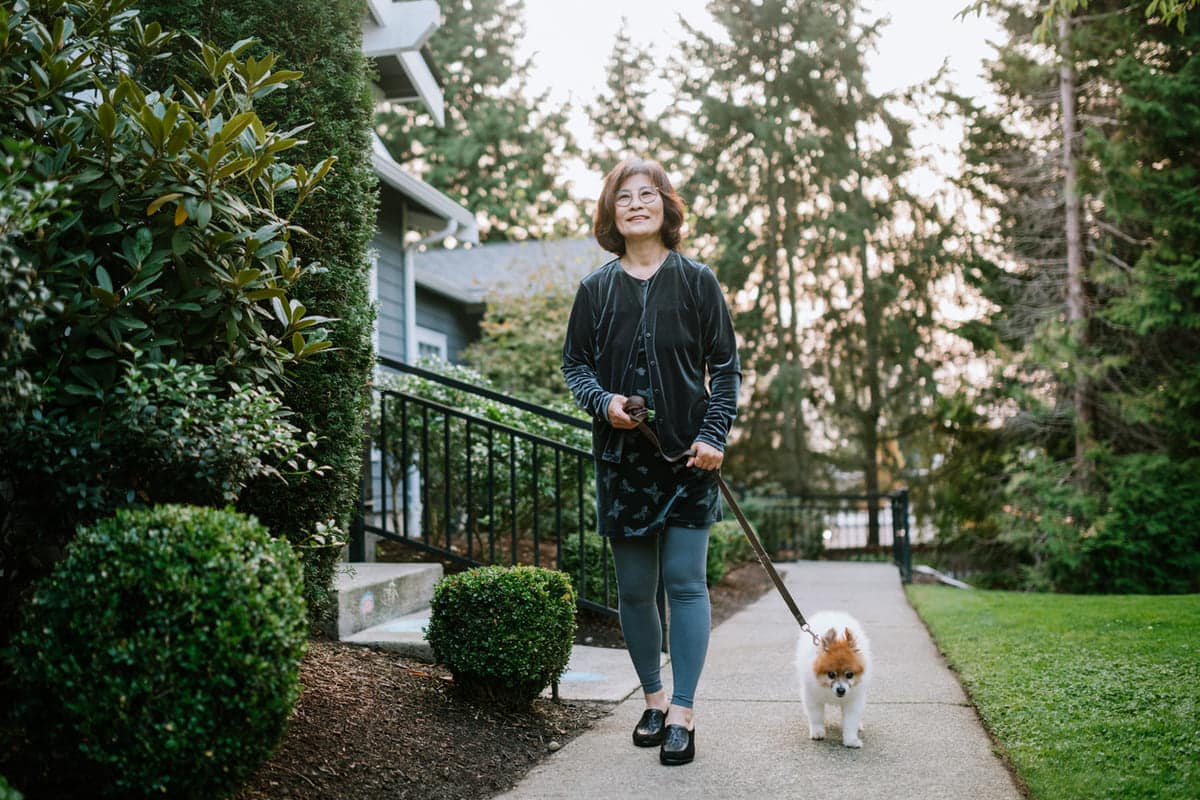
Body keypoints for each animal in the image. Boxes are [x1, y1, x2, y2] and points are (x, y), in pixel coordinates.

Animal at [796, 614, 873, 753]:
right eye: (831, 674)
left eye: (849, 675)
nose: (841, 690)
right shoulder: (813, 696)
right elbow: (816, 716)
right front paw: (818, 732)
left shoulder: (853, 701)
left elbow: (851, 722)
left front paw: (851, 740)